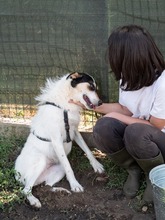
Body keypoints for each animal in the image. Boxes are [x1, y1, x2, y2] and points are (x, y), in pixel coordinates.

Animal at [14, 72, 104, 208]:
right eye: (91, 87)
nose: (100, 103)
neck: (64, 106)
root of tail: (16, 172)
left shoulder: (75, 132)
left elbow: (87, 150)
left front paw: (96, 165)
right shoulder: (57, 140)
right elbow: (69, 168)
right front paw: (75, 185)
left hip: (58, 169)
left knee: (46, 186)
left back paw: (61, 191)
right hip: (40, 162)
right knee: (25, 190)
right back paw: (34, 201)